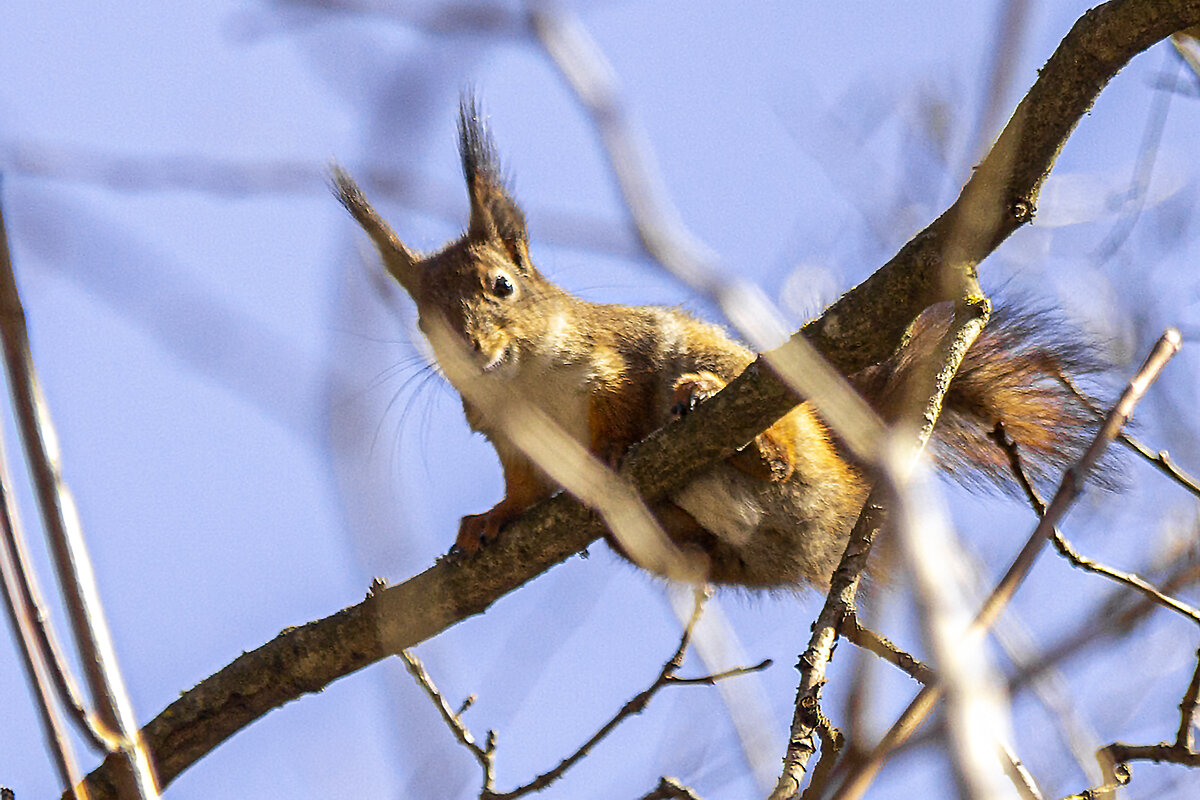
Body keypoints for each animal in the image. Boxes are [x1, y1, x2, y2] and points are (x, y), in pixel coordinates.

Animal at [331, 98, 1104, 587]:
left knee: (784, 463)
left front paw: (610, 449)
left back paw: (720, 419)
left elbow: (621, 400)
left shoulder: (613, 360)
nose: (470, 348)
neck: (521, 382)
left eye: (500, 286)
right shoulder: (508, 438)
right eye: (422, 321)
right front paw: (490, 521)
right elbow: (521, 488)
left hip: (745, 393)